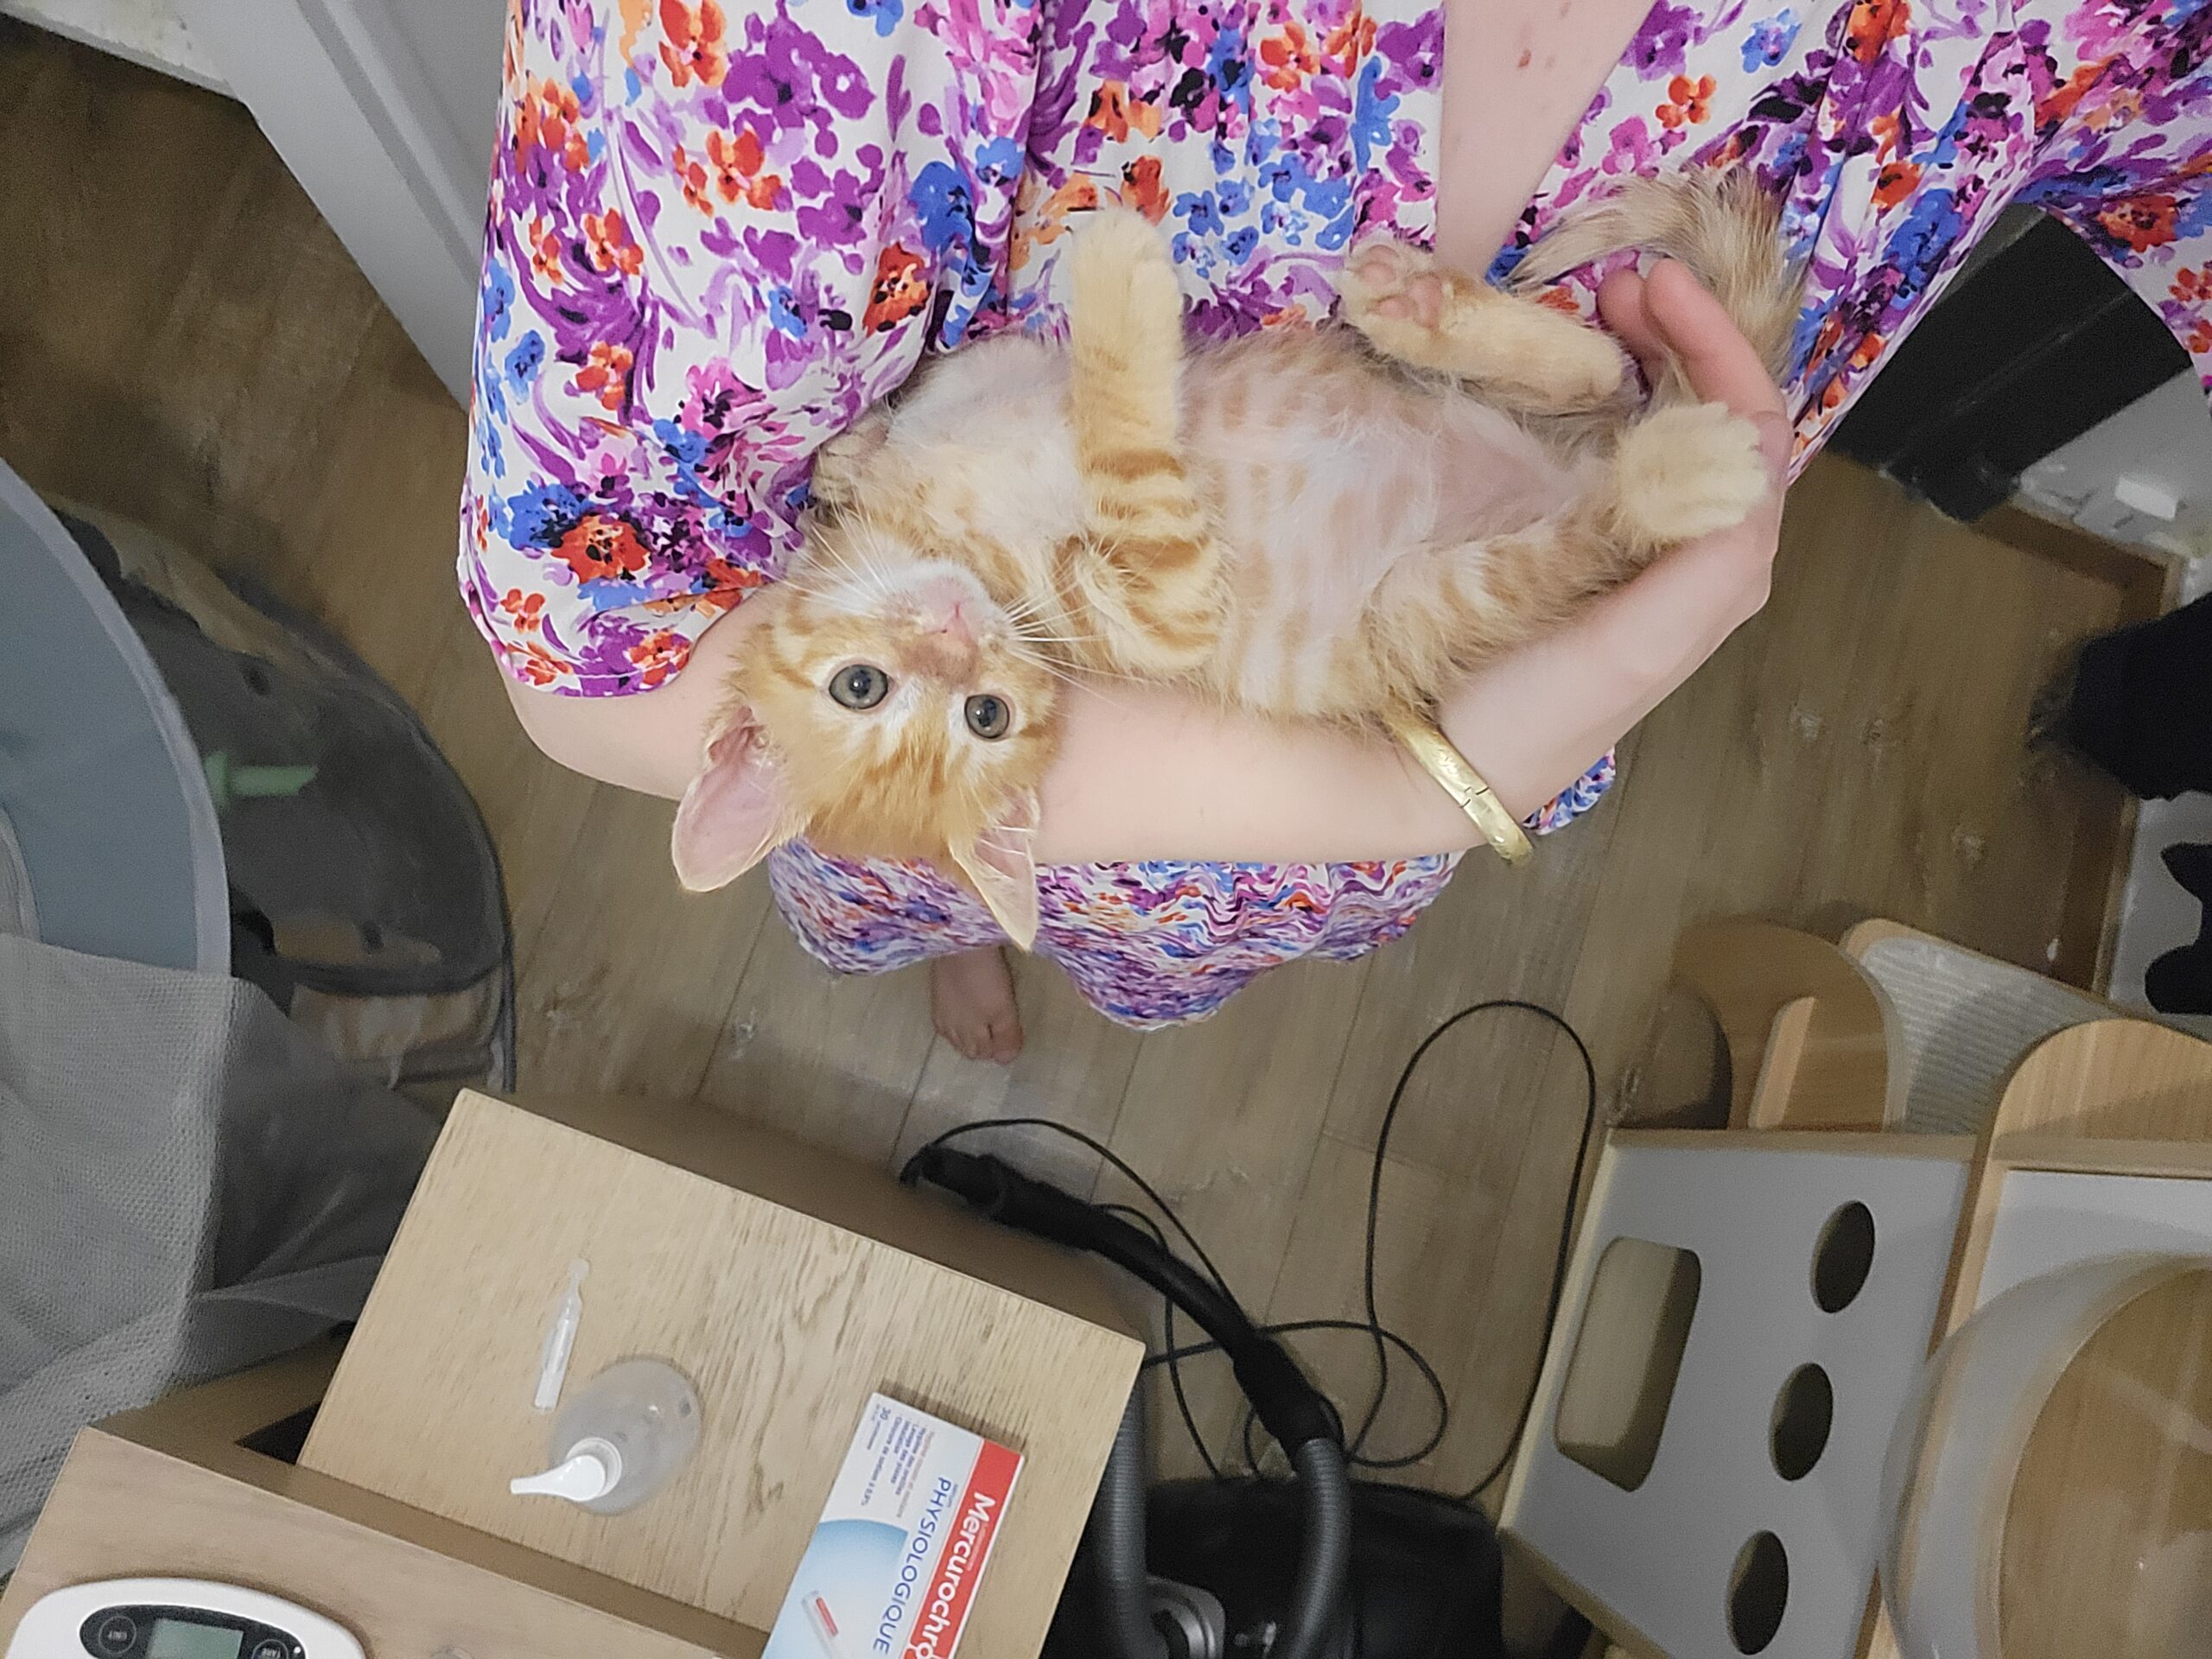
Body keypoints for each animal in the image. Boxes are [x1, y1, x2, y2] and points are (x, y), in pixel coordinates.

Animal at [671, 171, 1800, 947]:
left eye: (975, 713)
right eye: (872, 691)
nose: (955, 637)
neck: (943, 533)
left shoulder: (993, 373)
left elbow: (974, 380)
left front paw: (847, 452)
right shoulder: (1156, 611)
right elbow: (1131, 464)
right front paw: (1122, 284)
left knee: (1604, 369)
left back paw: (1422, 313)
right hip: (1439, 598)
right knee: (1600, 516)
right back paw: (1682, 470)